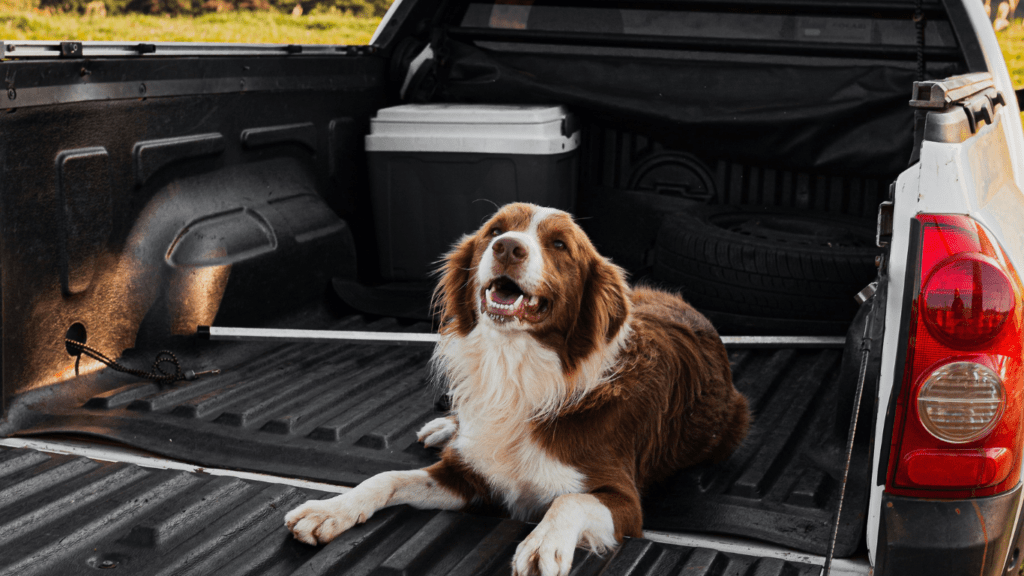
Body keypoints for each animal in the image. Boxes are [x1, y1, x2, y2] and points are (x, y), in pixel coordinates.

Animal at [284, 201, 749, 573]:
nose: (508, 247)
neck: (514, 369)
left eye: (559, 244)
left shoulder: (623, 501)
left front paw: (543, 543)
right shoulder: (467, 476)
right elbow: (386, 477)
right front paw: (331, 510)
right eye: (494, 230)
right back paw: (445, 426)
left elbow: (568, 500)